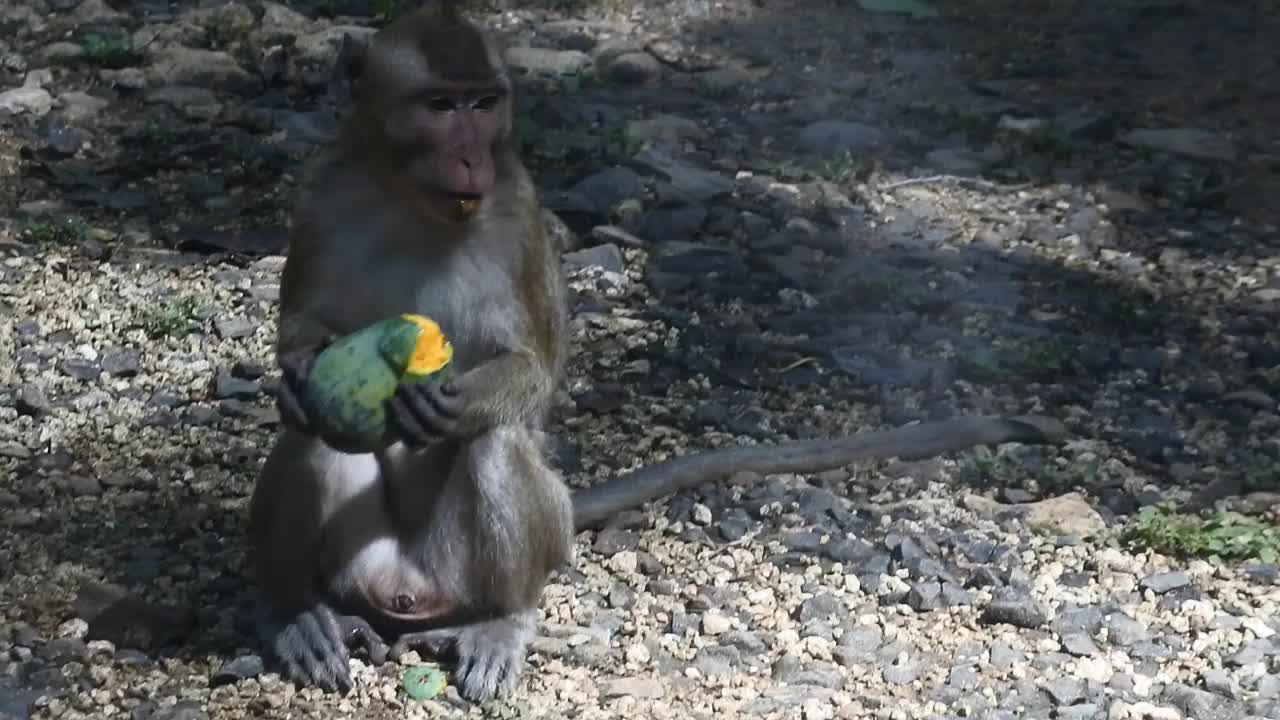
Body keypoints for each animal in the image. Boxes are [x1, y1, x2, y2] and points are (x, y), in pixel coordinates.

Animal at [244, 0, 1064, 702]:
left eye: (484, 103)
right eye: (442, 106)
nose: (474, 156)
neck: (413, 198)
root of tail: (409, 596)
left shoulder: (516, 212)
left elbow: (531, 373)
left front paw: (444, 399)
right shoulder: (323, 195)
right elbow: (301, 338)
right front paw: (296, 377)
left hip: (495, 557)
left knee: (495, 445)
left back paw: (501, 618)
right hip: (365, 568)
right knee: (315, 437)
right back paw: (303, 616)